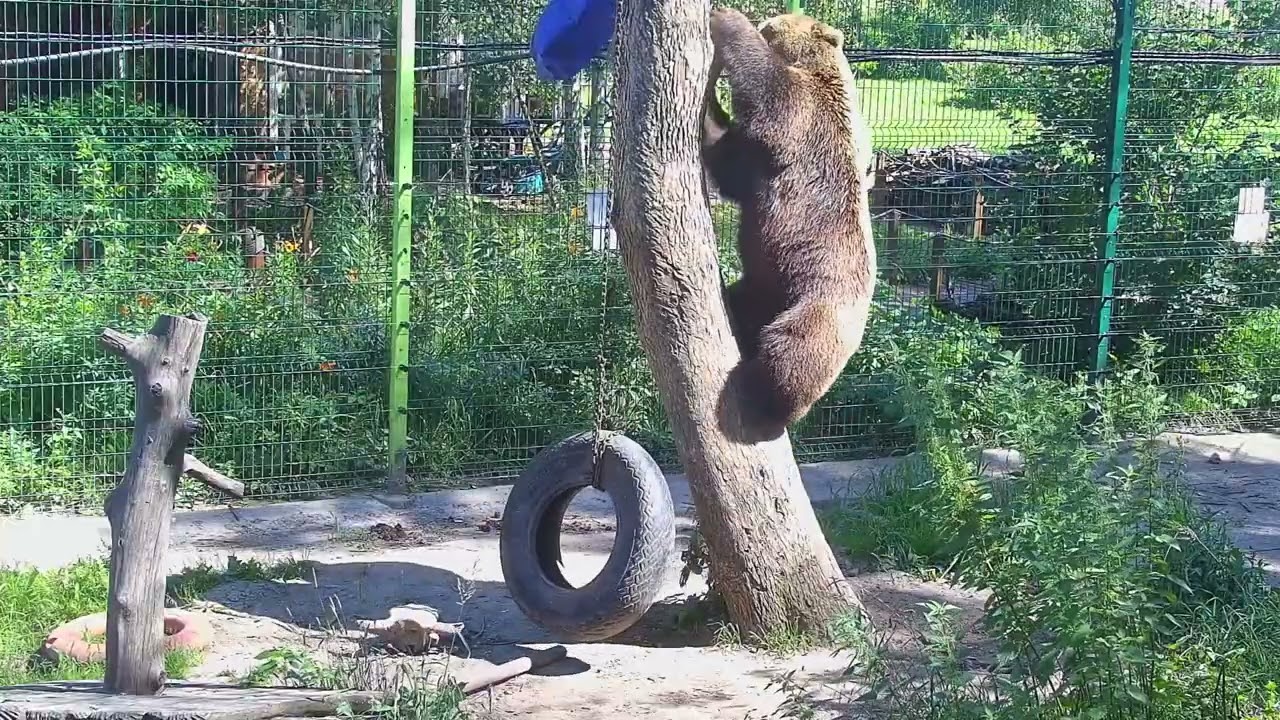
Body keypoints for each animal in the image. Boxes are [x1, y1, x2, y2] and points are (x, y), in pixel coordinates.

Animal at [701, 7, 877, 441]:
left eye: (778, 22)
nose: (768, 19)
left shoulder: (805, 119)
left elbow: (770, 97)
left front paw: (726, 19)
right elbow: (730, 160)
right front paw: (711, 103)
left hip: (815, 306)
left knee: (790, 356)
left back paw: (763, 401)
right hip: (764, 287)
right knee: (742, 301)